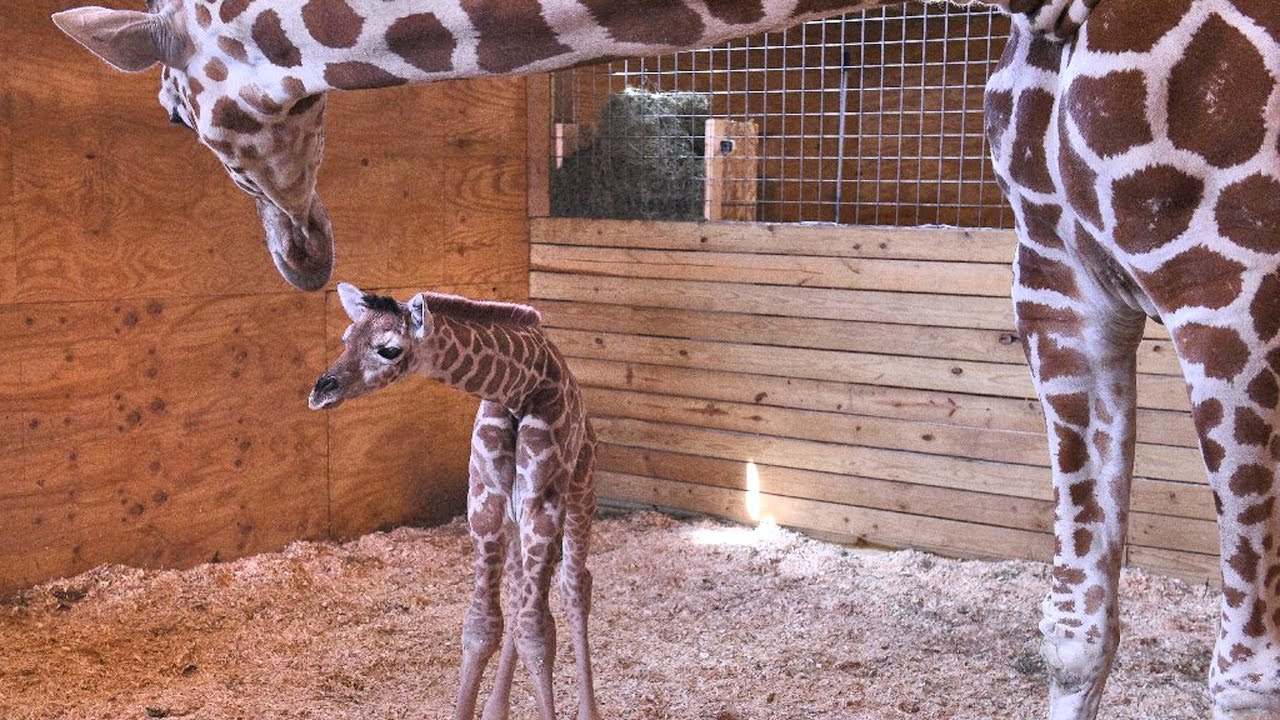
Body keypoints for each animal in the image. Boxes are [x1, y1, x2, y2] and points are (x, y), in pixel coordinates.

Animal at [308, 282, 599, 720]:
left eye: (388, 349)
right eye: (345, 338)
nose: (321, 391)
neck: (519, 386)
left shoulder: (542, 506)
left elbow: (536, 632)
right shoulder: (485, 504)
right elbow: (482, 626)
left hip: (581, 493)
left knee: (575, 585)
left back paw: (588, 710)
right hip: (518, 524)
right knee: (519, 595)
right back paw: (497, 709)